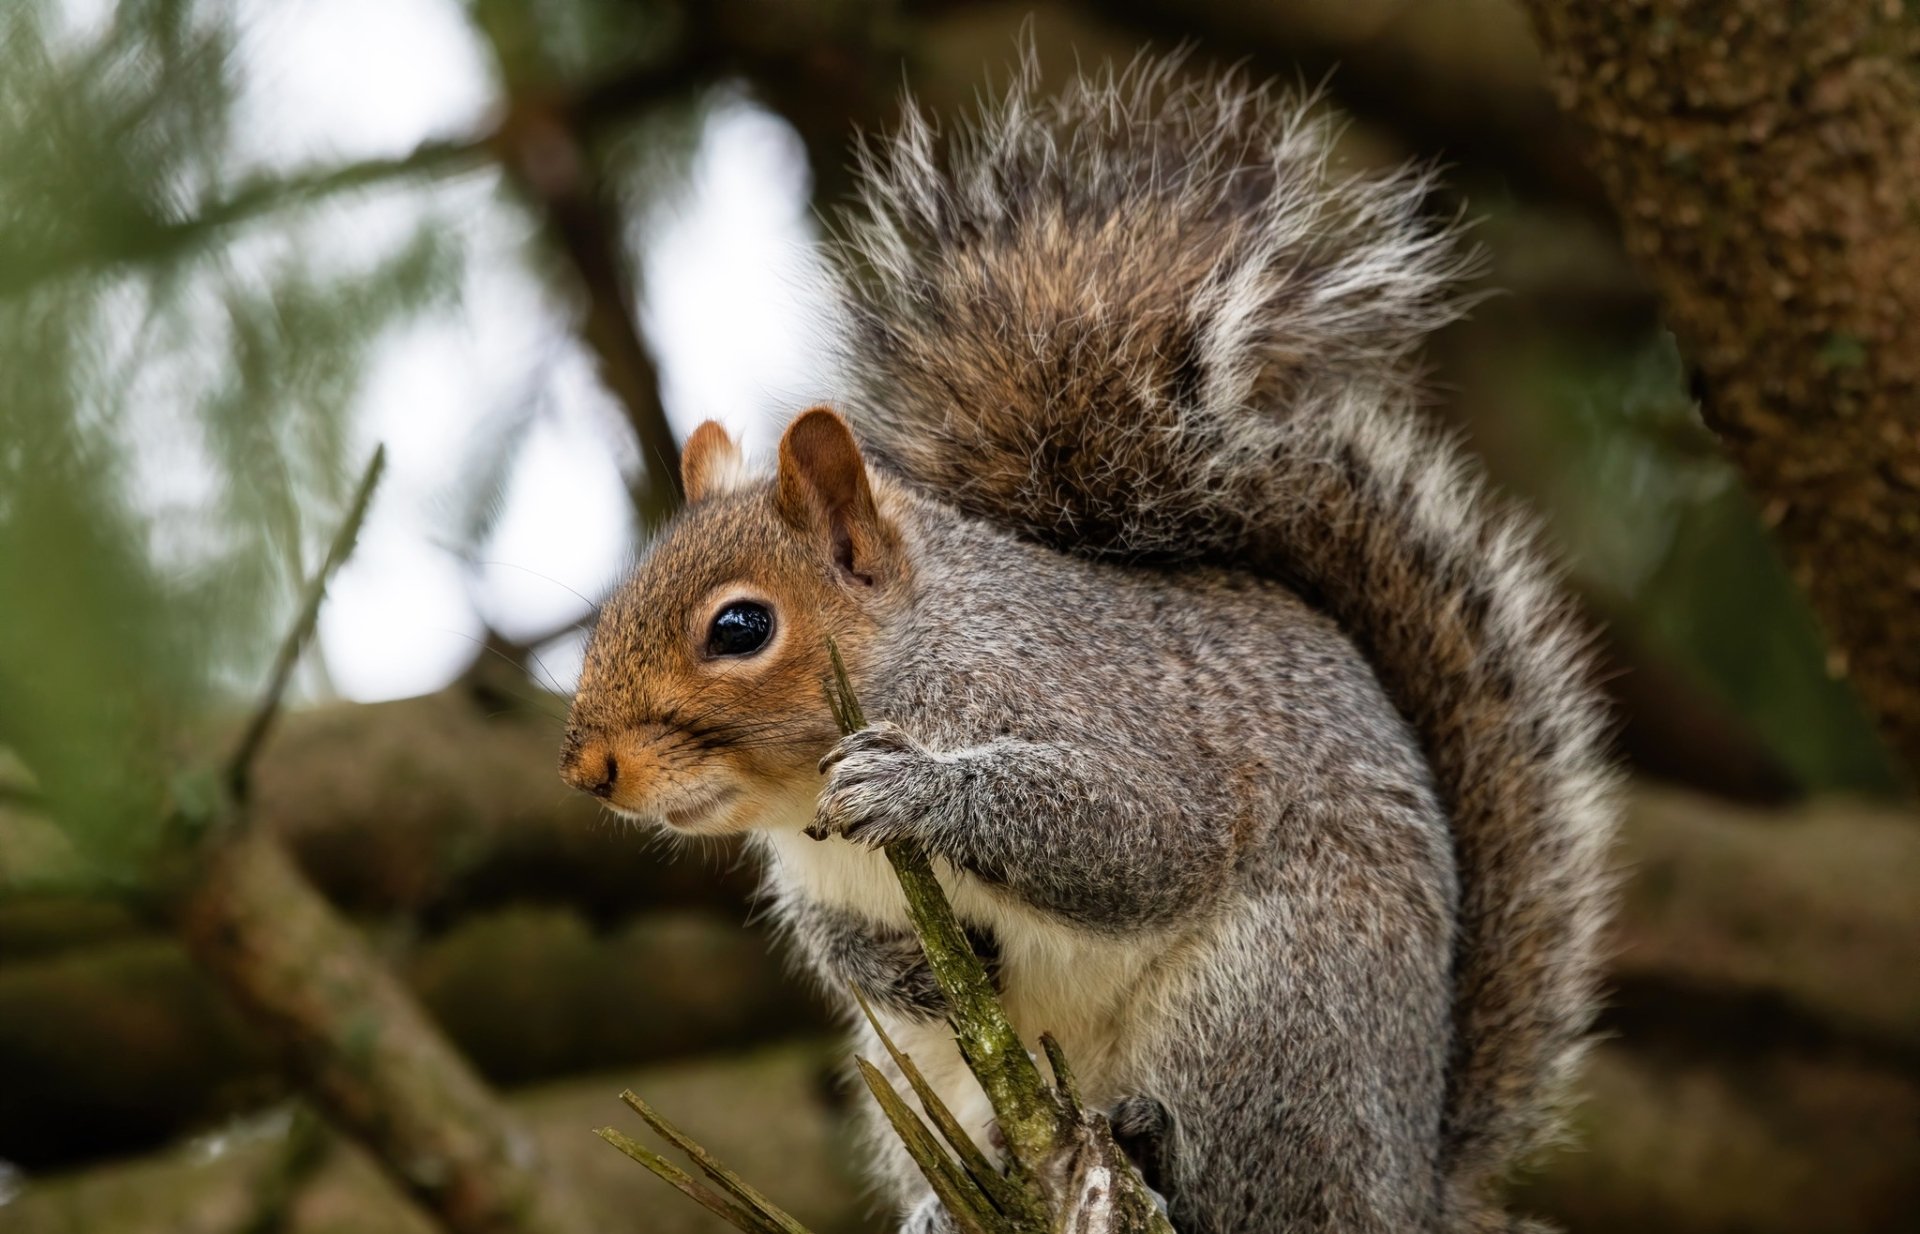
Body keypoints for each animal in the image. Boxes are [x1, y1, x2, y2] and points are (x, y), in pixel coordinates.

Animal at [560, 55, 1620, 1234]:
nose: (590, 768)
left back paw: (1161, 1147)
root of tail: (1409, 1193)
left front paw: (916, 788)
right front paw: (885, 963)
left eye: (740, 627)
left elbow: (1138, 833)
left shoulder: (1081, 705)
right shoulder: (811, 876)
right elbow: (827, 936)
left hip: (1270, 1014)